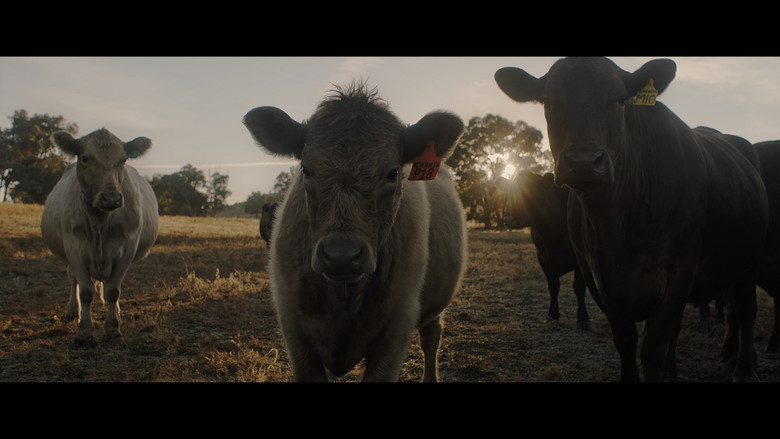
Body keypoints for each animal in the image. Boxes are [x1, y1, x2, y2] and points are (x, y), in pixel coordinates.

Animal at [40, 128, 159, 348]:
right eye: (85, 158)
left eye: (123, 160)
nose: (111, 198)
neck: (99, 222)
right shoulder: (73, 247)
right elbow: (85, 292)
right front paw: (84, 331)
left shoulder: (128, 247)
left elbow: (113, 291)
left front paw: (113, 329)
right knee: (73, 280)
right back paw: (73, 311)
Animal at [243, 83, 467, 382]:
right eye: (307, 169)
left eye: (393, 172)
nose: (341, 256)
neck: (344, 300)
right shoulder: (293, 327)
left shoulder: (397, 328)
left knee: (431, 337)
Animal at [505, 170, 590, 329]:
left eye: (532, 190)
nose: (510, 219)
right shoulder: (544, 259)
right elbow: (553, 287)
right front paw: (552, 314)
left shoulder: (580, 261)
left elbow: (579, 288)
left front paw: (583, 319)